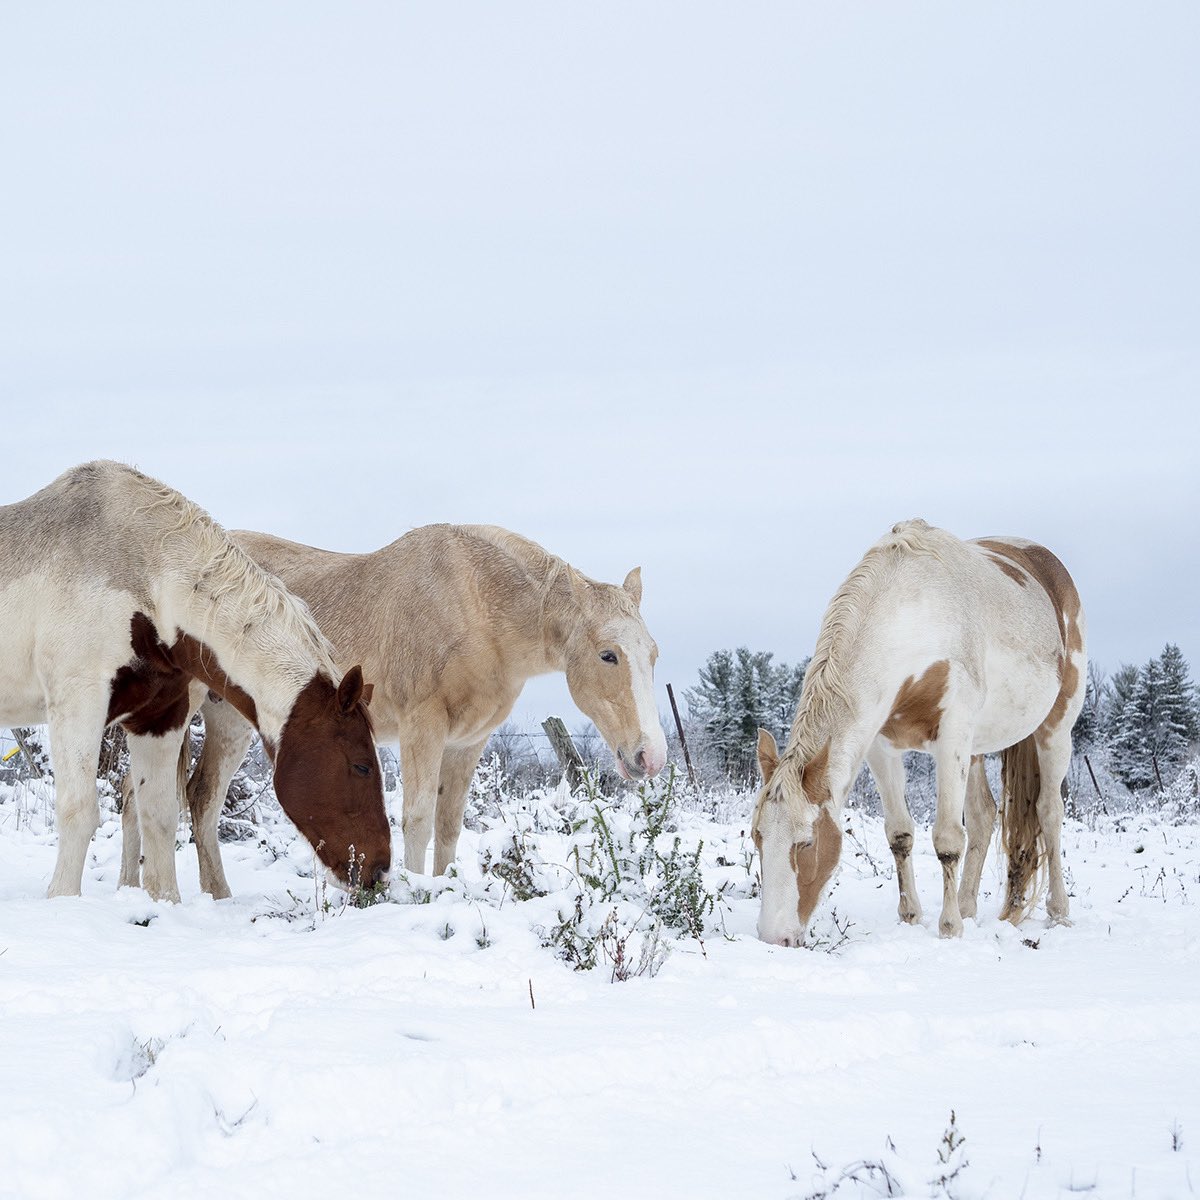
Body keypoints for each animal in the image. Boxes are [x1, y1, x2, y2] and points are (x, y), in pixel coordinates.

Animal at [0, 461, 389, 903]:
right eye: (361, 766)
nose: (379, 870)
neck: (149, 586)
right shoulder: (78, 700)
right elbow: (79, 811)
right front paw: (63, 901)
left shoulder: (159, 717)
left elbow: (158, 815)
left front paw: (163, 903)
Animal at [159, 522, 667, 898]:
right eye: (608, 655)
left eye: (654, 654)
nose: (652, 757)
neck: (478, 606)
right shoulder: (423, 727)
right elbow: (418, 819)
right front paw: (415, 893)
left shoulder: (468, 741)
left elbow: (448, 824)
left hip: (232, 718)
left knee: (201, 797)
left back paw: (217, 895)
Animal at [752, 519, 1087, 946]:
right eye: (757, 837)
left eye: (806, 842)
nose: (773, 938)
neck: (913, 612)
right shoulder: (881, 747)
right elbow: (900, 834)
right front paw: (912, 916)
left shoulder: (953, 736)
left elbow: (947, 839)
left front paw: (949, 928)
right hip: (976, 749)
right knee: (984, 815)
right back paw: (968, 908)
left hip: (1055, 729)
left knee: (1049, 812)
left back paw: (1058, 913)